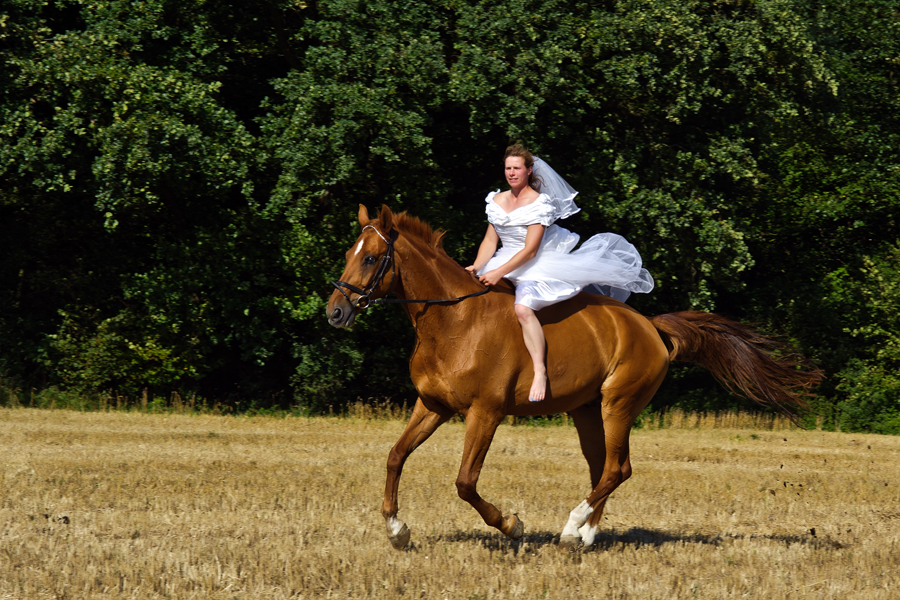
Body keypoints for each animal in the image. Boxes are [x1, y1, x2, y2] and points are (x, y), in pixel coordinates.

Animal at [326, 205, 820, 548]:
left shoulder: (485, 413)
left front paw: (512, 525)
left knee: (618, 467)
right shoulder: (433, 406)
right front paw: (397, 530)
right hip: (586, 410)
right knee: (604, 467)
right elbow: (395, 456)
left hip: (618, 404)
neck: (452, 322)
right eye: (350, 254)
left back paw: (571, 527)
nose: (336, 312)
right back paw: (584, 533)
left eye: (371, 259)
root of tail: (650, 326)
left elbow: (466, 481)